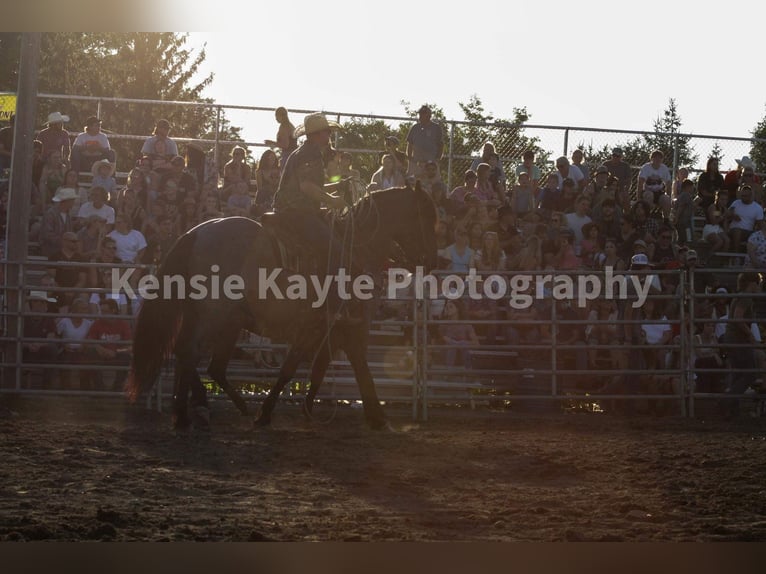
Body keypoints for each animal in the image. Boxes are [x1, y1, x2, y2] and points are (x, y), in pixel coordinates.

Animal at [126, 187, 438, 430]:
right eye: (427, 217)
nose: (434, 260)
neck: (357, 249)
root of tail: (196, 232)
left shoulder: (331, 330)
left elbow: (319, 369)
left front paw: (308, 409)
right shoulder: (342, 327)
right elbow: (332, 367)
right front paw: (376, 417)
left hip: (216, 319)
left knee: (200, 361)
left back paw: (198, 410)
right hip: (213, 316)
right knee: (189, 352)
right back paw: (192, 411)